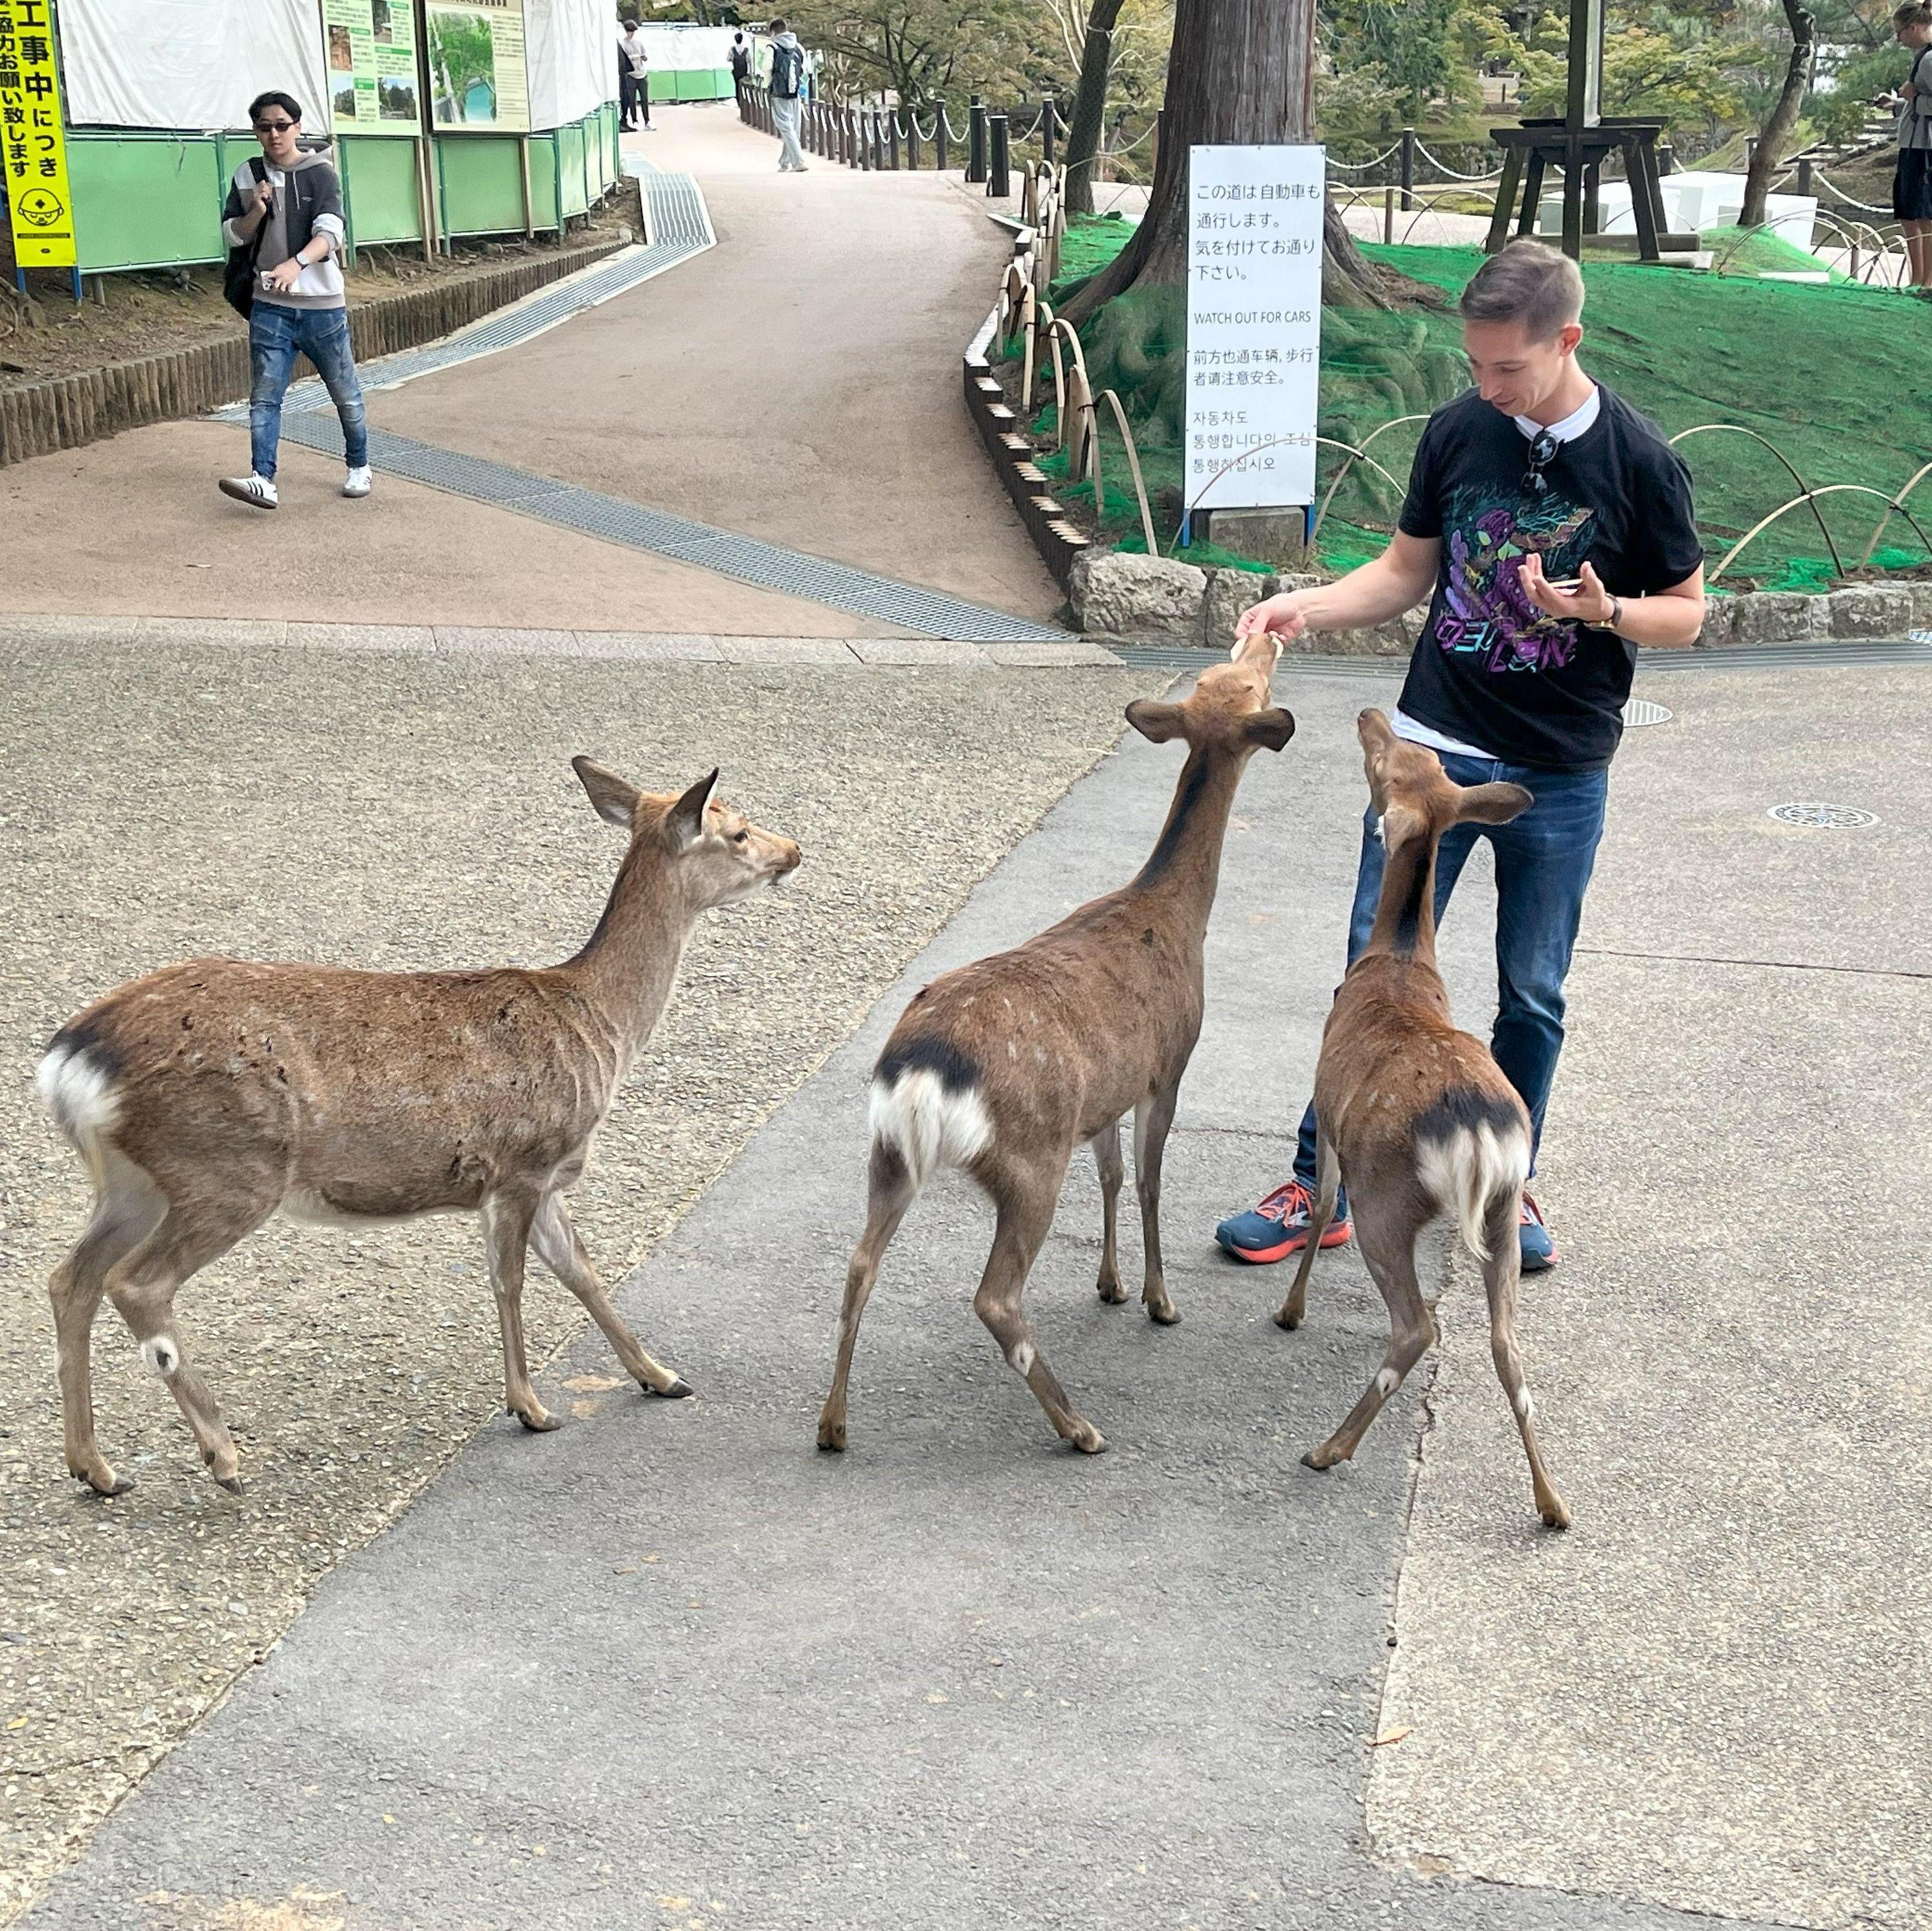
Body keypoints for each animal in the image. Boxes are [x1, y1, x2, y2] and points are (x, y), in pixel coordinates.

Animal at [36, 760, 801, 1498]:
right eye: (736, 829)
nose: (793, 850)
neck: (601, 1025)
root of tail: (72, 1060)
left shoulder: (551, 1175)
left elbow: (582, 1271)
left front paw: (661, 1375)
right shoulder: (521, 1163)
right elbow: (510, 1280)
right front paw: (530, 1405)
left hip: (134, 1181)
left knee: (69, 1278)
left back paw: (95, 1467)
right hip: (227, 1166)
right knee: (136, 1283)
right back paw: (221, 1455)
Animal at [815, 631, 1296, 1458]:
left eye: (1225, 675)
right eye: (1246, 682)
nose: (1266, 633)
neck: (1176, 913)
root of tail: (921, 1072)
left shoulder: (1102, 1097)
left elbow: (1109, 1176)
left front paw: (1110, 1284)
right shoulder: (1167, 1065)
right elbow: (1148, 1179)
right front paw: (1159, 1299)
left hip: (888, 1149)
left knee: (858, 1262)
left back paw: (833, 1425)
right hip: (1028, 1155)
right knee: (995, 1296)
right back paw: (1078, 1426)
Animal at [1272, 709, 1569, 1529]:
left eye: (1386, 764)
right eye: (1425, 758)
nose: (1371, 715)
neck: (1399, 959)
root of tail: (1473, 1130)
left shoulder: (1329, 1115)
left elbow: (1319, 1211)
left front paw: (1290, 1309)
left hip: (1387, 1196)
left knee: (1417, 1326)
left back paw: (1328, 1448)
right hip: (1500, 1207)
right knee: (1507, 1345)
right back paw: (1552, 1502)